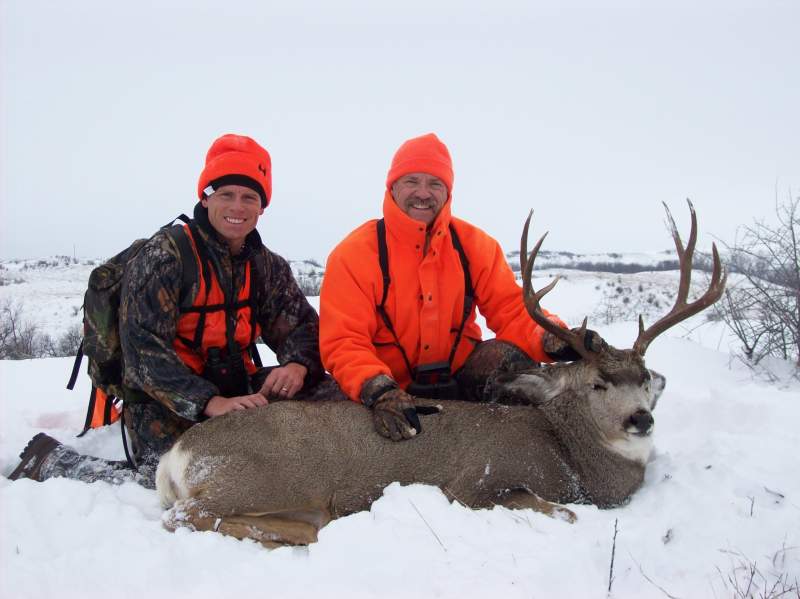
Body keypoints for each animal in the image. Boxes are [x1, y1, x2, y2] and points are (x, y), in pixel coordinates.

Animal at [155, 202, 724, 548]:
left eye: (646, 377)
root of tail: (175, 456)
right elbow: (563, 512)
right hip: (265, 477)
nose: (640, 420)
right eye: (597, 383)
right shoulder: (476, 481)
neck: (573, 461)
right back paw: (307, 530)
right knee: (185, 516)